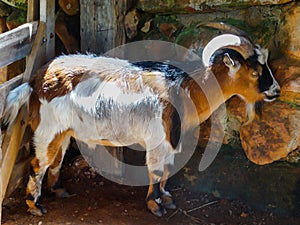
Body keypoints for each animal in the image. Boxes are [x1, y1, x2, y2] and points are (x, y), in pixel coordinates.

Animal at [1, 32, 282, 217]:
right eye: (255, 73)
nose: (276, 91)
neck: (185, 89)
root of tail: (35, 81)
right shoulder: (159, 139)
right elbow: (156, 171)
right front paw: (155, 205)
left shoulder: (172, 138)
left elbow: (167, 169)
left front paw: (167, 199)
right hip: (47, 129)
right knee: (39, 163)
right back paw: (35, 206)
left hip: (64, 131)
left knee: (56, 159)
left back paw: (59, 191)